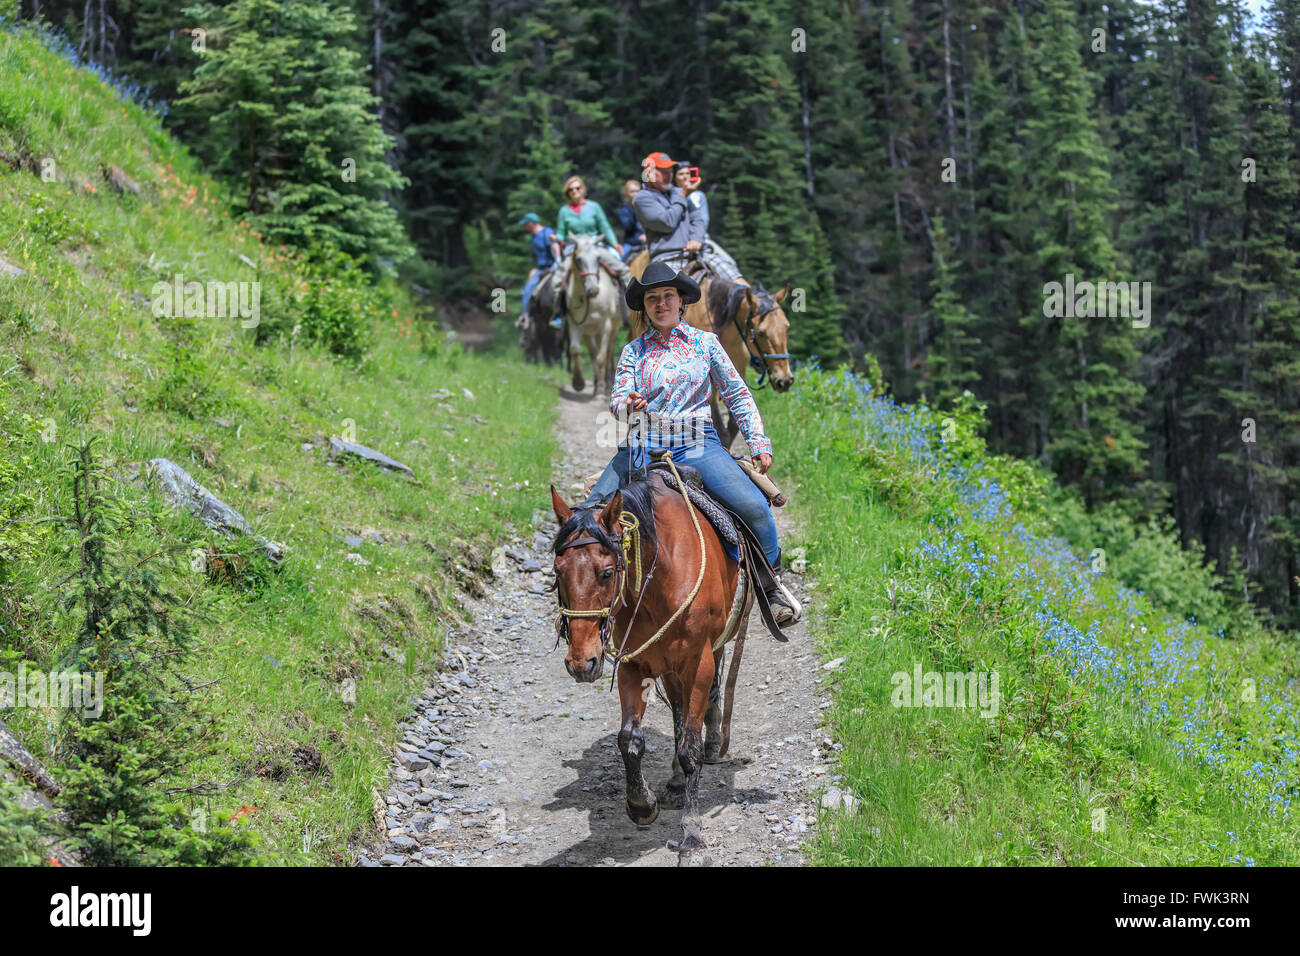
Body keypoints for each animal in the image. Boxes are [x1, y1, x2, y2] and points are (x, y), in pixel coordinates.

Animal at [548, 460, 754, 863]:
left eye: (606, 572)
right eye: (558, 571)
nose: (582, 662)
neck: (661, 577)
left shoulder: (697, 663)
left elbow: (690, 749)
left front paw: (692, 836)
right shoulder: (633, 664)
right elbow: (629, 740)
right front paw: (642, 804)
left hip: (705, 653)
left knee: (707, 697)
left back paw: (712, 742)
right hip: (670, 667)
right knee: (677, 710)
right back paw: (674, 784)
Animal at [559, 234, 624, 395]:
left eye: (598, 258)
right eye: (579, 259)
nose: (593, 289)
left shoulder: (605, 325)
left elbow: (602, 357)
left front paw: (601, 389)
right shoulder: (576, 324)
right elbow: (575, 350)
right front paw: (578, 383)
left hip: (612, 328)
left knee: (608, 352)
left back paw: (606, 383)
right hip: (589, 332)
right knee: (593, 352)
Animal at [626, 251, 795, 452]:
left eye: (787, 327)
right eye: (760, 332)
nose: (784, 380)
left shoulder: (735, 371)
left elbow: (733, 424)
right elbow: (719, 427)